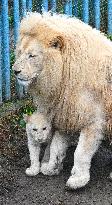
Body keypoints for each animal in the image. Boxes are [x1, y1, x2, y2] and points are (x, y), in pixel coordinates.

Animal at [12, 12, 111, 189]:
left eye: (32, 55)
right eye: (20, 52)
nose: (14, 71)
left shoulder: (94, 121)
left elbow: (81, 153)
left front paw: (77, 180)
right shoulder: (66, 114)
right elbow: (56, 146)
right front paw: (51, 168)